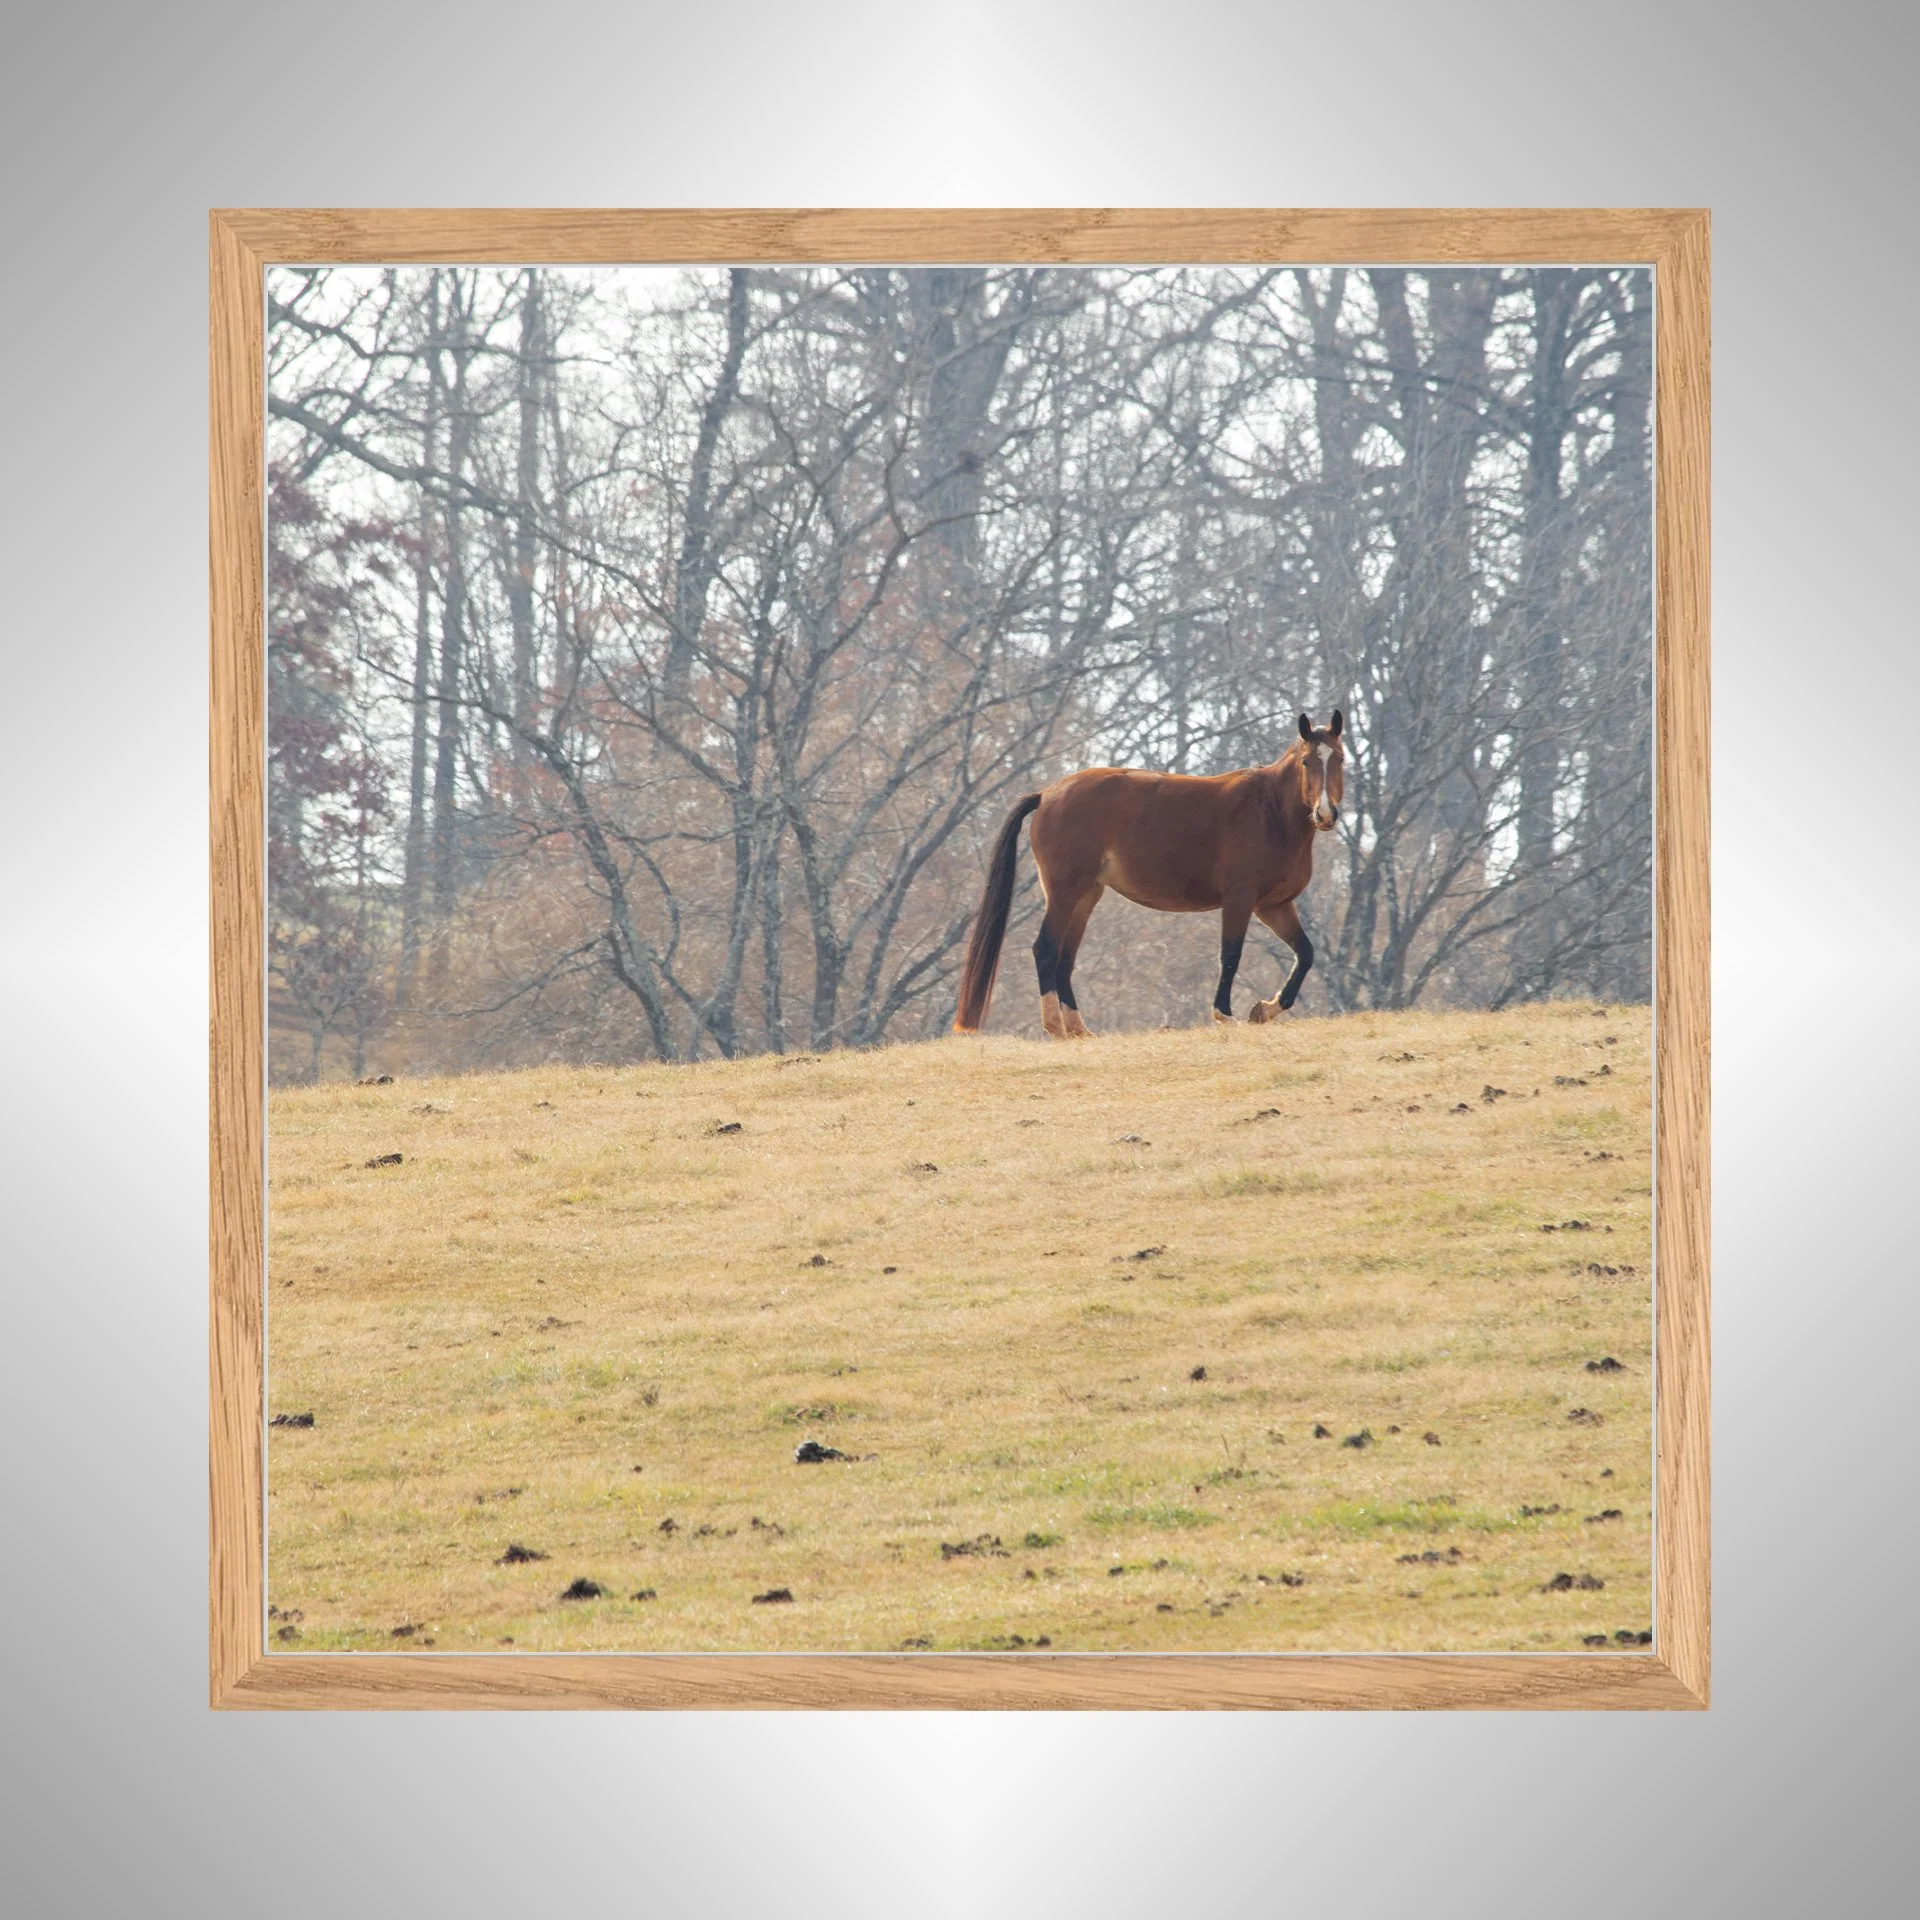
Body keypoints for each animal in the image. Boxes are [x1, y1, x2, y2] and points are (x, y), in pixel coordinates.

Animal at [952, 711, 1345, 1038]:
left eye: (1339, 759)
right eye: (1307, 761)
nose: (1326, 814)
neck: (1269, 811)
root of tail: (1048, 794)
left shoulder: (1273, 905)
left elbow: (1305, 954)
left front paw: (1264, 1009)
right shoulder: (1240, 899)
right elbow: (1231, 955)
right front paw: (1225, 1015)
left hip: (1086, 895)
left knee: (1065, 957)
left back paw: (1079, 1029)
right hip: (1065, 892)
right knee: (1045, 949)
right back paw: (1056, 1028)